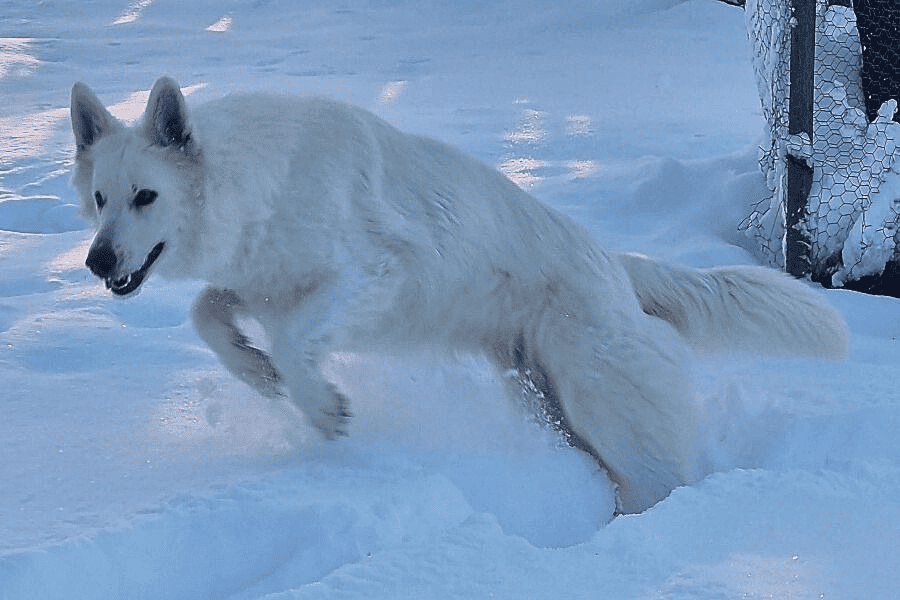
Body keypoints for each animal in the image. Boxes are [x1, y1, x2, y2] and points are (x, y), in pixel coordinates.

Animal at [72, 77, 852, 512]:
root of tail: (616, 267)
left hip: (604, 401)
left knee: (663, 476)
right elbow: (207, 314)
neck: (253, 181)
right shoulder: (257, 283)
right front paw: (260, 376)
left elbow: (295, 340)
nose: (95, 261)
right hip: (541, 400)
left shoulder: (371, 274)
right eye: (101, 198)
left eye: (146, 196)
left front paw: (322, 409)